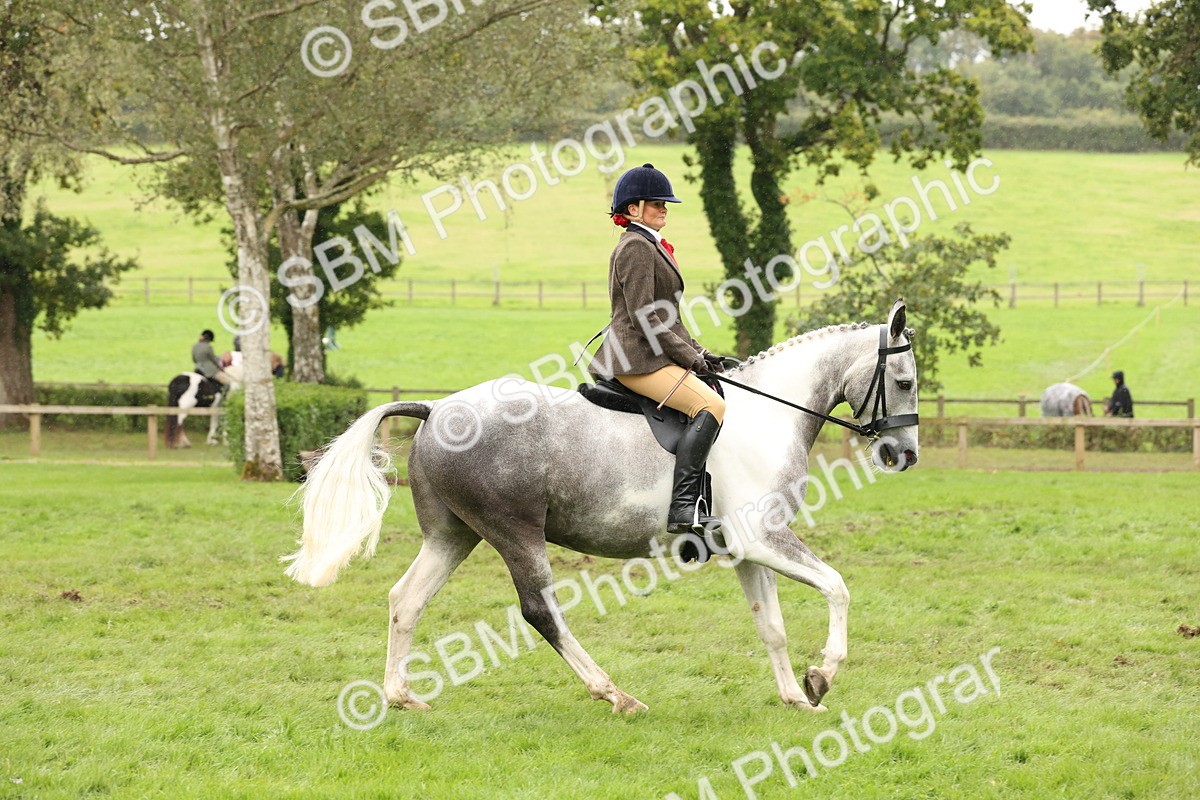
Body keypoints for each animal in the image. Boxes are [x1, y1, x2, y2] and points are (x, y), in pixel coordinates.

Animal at [284, 300, 919, 715]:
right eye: (907, 381)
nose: (904, 454)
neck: (770, 414)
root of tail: (436, 410)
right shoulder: (764, 538)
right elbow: (837, 587)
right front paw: (823, 675)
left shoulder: (746, 550)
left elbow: (773, 627)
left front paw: (795, 695)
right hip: (515, 532)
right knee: (540, 612)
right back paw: (615, 694)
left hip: (453, 535)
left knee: (405, 600)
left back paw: (400, 696)